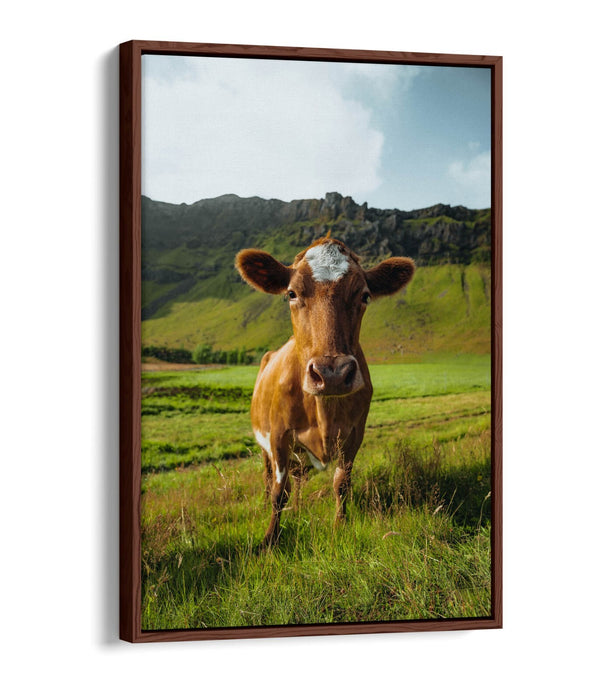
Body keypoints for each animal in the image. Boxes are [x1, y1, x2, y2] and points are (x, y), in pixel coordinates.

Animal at [235, 237, 415, 546]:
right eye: (291, 293)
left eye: (365, 295)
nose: (332, 374)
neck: (324, 412)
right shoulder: (279, 436)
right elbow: (278, 492)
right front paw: (270, 539)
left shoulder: (354, 435)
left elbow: (341, 483)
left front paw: (339, 526)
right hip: (264, 444)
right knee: (269, 477)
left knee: (297, 479)